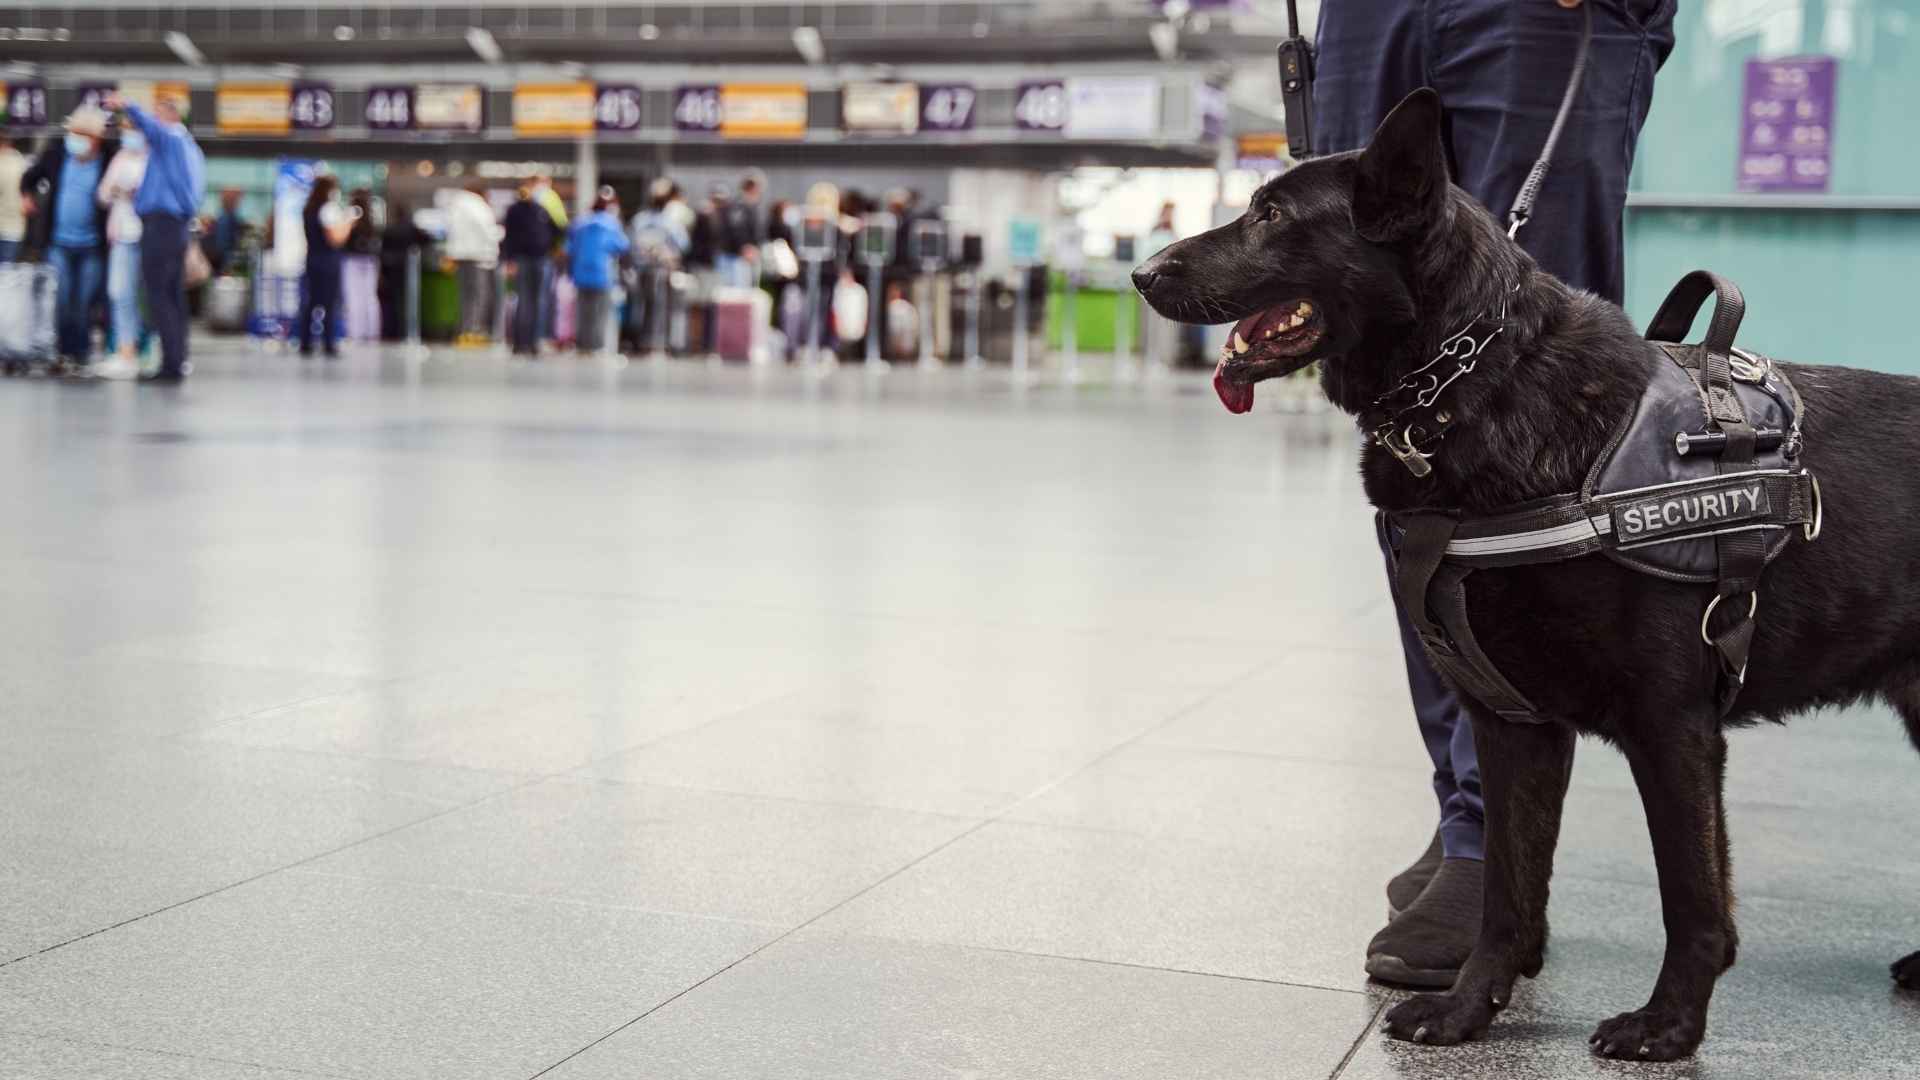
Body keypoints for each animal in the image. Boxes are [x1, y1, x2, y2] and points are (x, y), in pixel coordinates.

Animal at [1128, 85, 1912, 1060]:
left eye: (1271, 215)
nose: (1141, 271)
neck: (1480, 382)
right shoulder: (1513, 728)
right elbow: (1507, 890)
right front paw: (1469, 1010)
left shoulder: (1673, 727)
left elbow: (1691, 896)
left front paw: (1669, 1025)